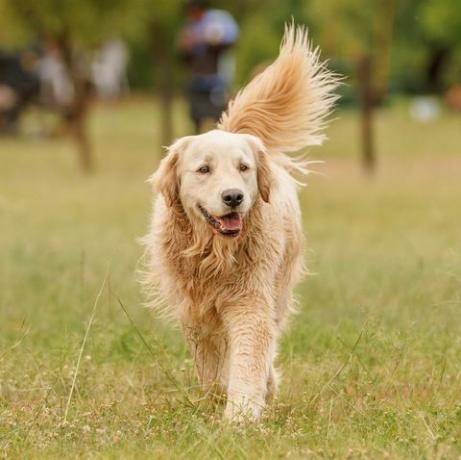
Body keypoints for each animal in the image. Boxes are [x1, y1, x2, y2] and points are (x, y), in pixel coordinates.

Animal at [142, 24, 336, 420]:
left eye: (243, 167)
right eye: (204, 169)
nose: (233, 197)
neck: (214, 252)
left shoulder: (250, 301)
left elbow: (249, 356)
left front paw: (242, 414)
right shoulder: (195, 310)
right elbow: (212, 368)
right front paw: (222, 399)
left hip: (279, 286)